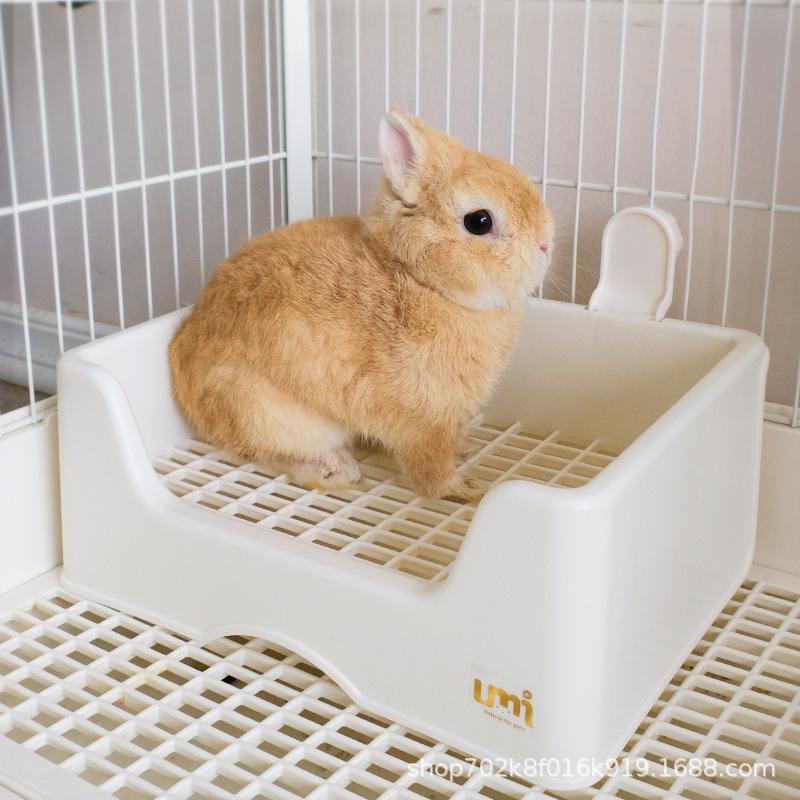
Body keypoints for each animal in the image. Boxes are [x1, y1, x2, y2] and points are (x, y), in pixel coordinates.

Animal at [168, 110, 553, 502]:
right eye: (479, 221)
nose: (545, 243)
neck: (422, 280)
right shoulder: (425, 422)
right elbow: (429, 468)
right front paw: (463, 489)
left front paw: (466, 447)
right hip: (270, 416)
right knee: (273, 454)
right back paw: (335, 470)